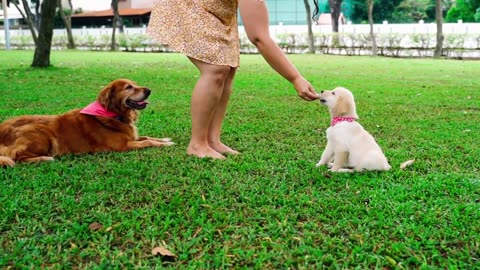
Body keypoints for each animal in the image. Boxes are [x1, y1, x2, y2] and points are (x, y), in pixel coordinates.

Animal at [0, 78, 172, 167]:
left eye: (135, 84)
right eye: (129, 87)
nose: (149, 90)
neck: (114, 115)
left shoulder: (132, 137)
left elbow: (147, 137)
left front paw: (165, 139)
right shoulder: (122, 146)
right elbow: (147, 142)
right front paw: (164, 144)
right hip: (42, 134)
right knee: (16, 156)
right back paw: (43, 158)